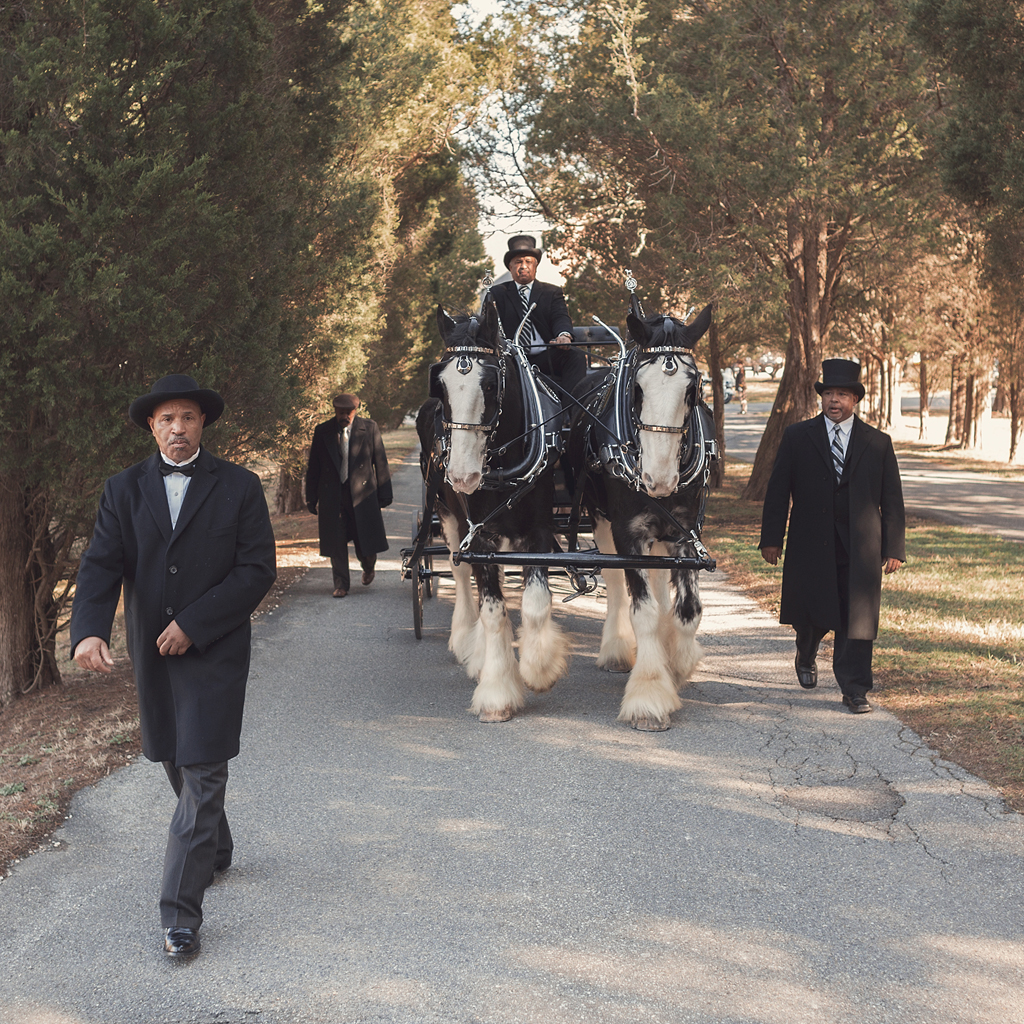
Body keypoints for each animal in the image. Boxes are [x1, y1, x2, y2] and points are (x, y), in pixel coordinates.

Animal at [415, 299, 569, 724]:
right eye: (440, 385)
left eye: (489, 384)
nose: (462, 475)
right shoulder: (479, 535)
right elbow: (492, 610)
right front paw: (497, 690)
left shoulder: (539, 530)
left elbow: (535, 604)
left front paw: (539, 667)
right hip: (449, 518)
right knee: (462, 576)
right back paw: (470, 645)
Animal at [569, 299, 712, 733]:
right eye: (637, 388)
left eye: (693, 388)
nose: (658, 479)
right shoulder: (627, 532)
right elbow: (643, 611)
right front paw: (649, 695)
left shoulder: (685, 532)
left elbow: (687, 610)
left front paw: (677, 666)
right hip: (599, 520)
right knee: (616, 584)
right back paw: (616, 651)